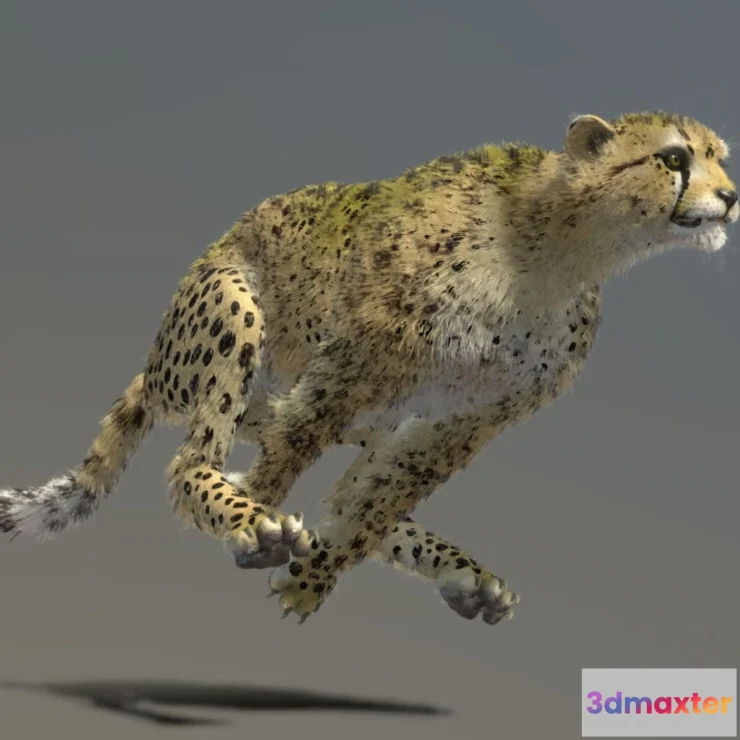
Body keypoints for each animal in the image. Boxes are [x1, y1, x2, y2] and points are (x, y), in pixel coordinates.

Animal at [1, 111, 737, 626]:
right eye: (674, 158)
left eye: (721, 159)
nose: (730, 197)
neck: (562, 247)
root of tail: (155, 367)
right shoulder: (347, 373)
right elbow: (286, 472)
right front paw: (257, 529)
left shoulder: (463, 420)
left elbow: (373, 507)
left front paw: (310, 580)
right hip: (235, 315)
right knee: (198, 463)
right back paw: (251, 514)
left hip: (365, 417)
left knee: (344, 490)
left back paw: (465, 578)